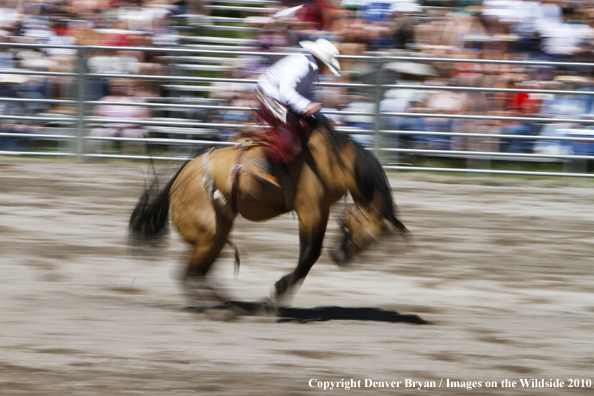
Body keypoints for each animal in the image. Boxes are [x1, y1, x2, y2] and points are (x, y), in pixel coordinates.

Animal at [130, 125, 408, 304]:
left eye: (375, 239)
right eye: (358, 224)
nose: (341, 257)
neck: (334, 162)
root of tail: (181, 176)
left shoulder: (321, 209)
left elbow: (310, 254)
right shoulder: (311, 209)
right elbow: (310, 253)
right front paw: (278, 291)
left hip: (217, 231)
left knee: (195, 272)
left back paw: (225, 305)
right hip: (208, 233)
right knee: (190, 273)